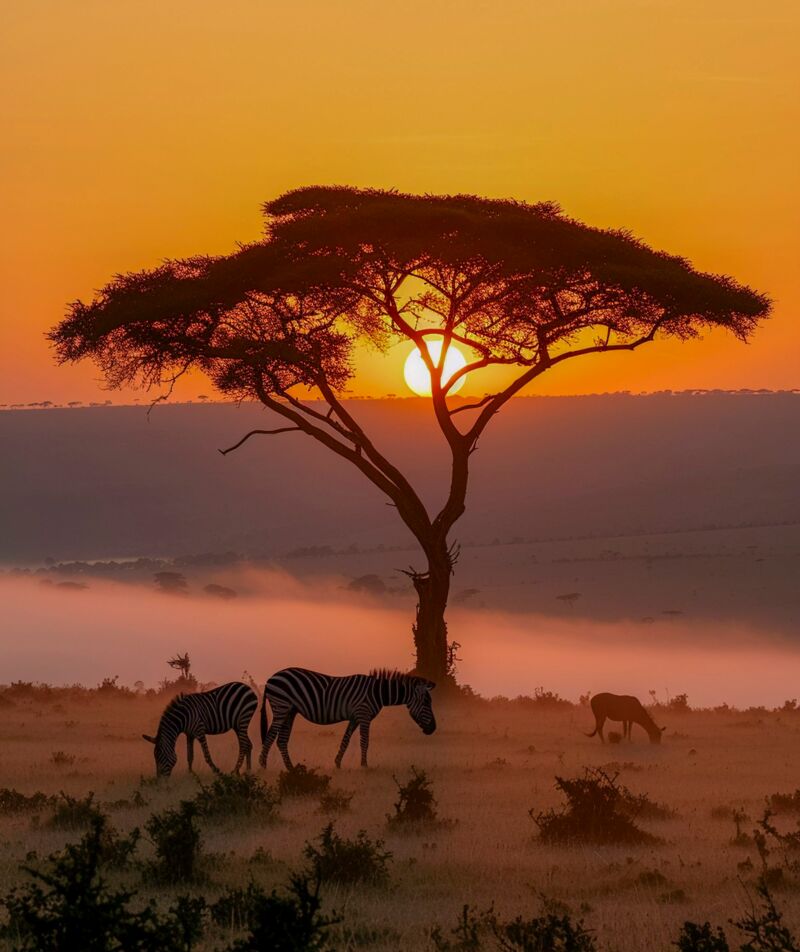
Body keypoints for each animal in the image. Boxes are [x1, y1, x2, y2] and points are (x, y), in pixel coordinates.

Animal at [258, 667, 436, 769]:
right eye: (427, 703)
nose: (433, 728)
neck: (377, 693)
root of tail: (271, 678)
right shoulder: (364, 715)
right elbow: (365, 741)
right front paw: (364, 765)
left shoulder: (355, 717)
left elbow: (346, 739)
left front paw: (337, 762)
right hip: (281, 707)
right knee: (270, 736)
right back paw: (263, 765)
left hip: (290, 711)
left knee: (281, 740)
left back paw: (291, 768)